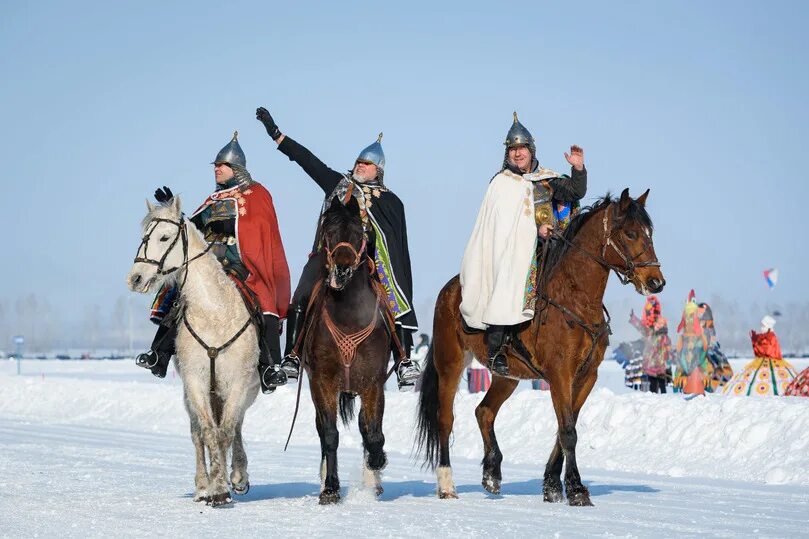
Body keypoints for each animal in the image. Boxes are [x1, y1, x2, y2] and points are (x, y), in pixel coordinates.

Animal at [127, 196, 258, 508]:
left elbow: (226, 429)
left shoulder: (238, 382)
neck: (214, 312)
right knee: (198, 432)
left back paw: (238, 476)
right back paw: (203, 485)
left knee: (236, 425)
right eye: (143, 237)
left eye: (164, 237)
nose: (135, 278)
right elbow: (208, 432)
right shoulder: (195, 381)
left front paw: (227, 484)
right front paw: (214, 487)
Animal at [300, 197, 394, 506]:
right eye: (328, 231)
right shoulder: (322, 382)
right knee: (323, 430)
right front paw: (330, 488)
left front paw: (377, 463)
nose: (341, 269)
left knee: (367, 428)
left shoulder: (373, 382)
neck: (349, 316)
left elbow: (373, 434)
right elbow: (330, 434)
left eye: (358, 232)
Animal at [416, 189, 664, 506]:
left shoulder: (586, 376)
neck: (575, 300)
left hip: (506, 375)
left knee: (484, 411)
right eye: (631, 233)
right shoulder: (560, 374)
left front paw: (552, 484)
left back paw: (492, 472)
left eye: (650, 233)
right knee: (445, 420)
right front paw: (575, 489)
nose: (656, 282)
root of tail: (449, 290)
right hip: (451, 363)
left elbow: (565, 427)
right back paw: (447, 484)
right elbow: (568, 431)